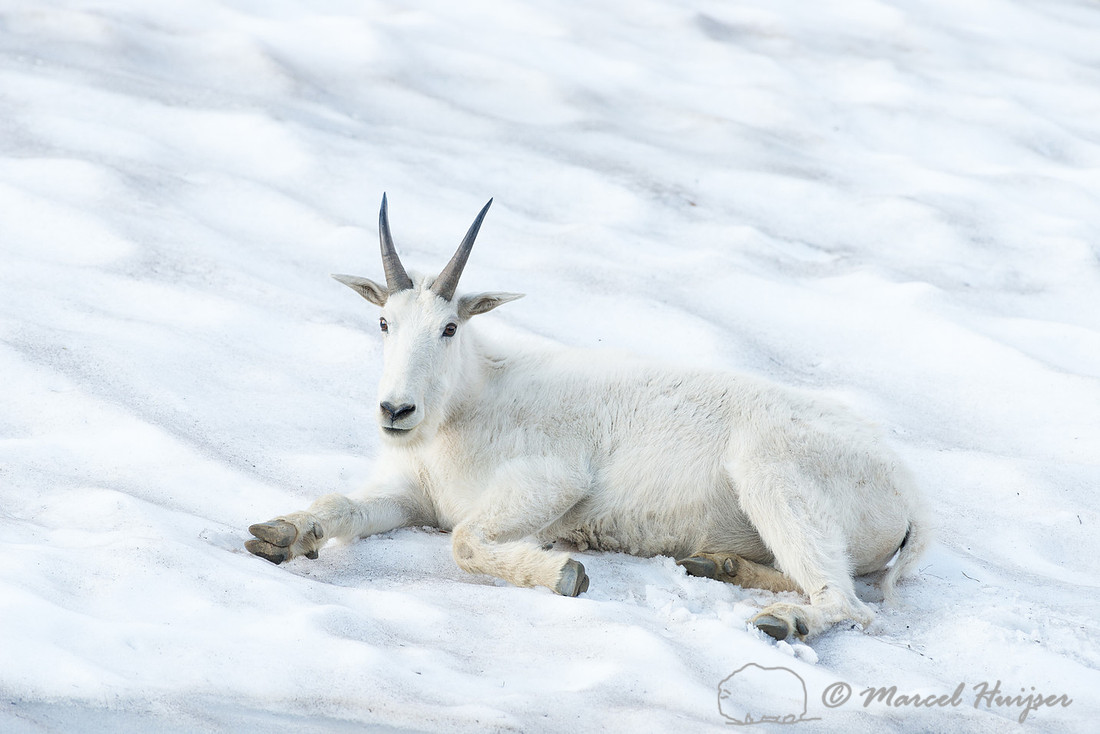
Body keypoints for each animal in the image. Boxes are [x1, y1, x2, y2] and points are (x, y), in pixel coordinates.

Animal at [246, 195, 930, 641]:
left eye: (449, 327)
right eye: (384, 321)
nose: (396, 409)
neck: (468, 406)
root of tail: (913, 504)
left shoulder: (550, 482)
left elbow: (466, 541)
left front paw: (565, 574)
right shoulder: (413, 497)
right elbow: (341, 505)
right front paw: (277, 535)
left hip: (772, 478)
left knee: (848, 603)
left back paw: (782, 622)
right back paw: (715, 565)